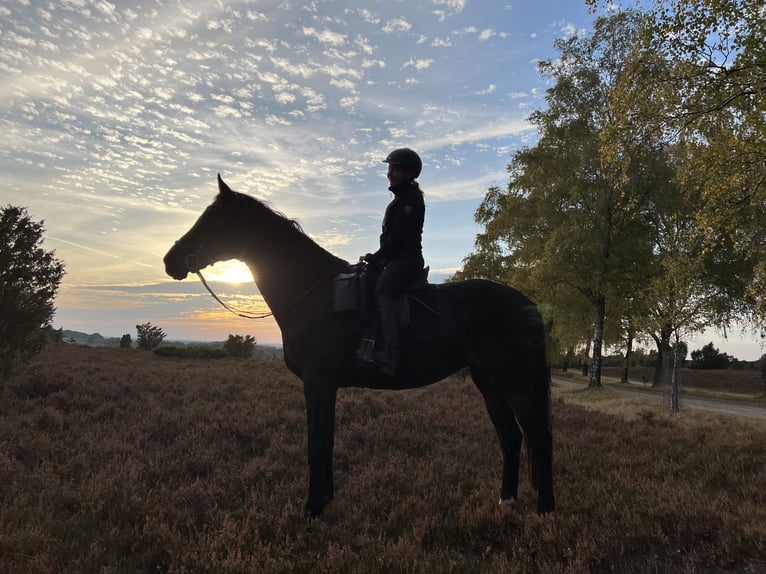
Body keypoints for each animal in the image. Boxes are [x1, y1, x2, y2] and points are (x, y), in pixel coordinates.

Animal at [165, 174, 556, 516]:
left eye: (215, 219)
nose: (170, 261)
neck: (315, 294)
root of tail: (528, 304)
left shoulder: (318, 383)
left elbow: (318, 444)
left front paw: (313, 507)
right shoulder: (324, 385)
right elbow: (325, 441)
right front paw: (324, 500)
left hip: (515, 381)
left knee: (538, 436)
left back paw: (545, 510)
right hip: (488, 381)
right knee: (511, 437)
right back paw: (506, 501)